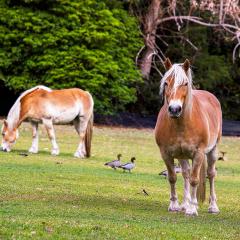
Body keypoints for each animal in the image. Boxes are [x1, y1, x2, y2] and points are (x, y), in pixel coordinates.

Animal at [155, 58, 222, 216]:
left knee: (211, 174)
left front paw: (192, 209)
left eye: (185, 83)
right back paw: (185, 204)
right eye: (166, 82)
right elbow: (173, 177)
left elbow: (194, 180)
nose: (174, 109)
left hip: (213, 150)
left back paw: (212, 206)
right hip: (182, 155)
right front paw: (175, 205)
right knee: (185, 174)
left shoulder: (198, 154)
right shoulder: (166, 154)